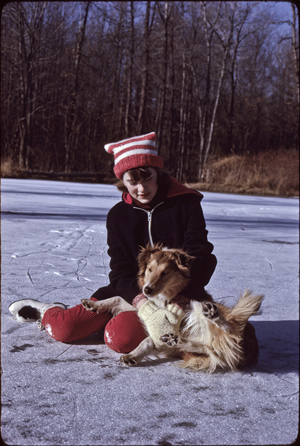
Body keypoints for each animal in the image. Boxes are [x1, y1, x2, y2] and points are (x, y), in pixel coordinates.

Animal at [81, 244, 262, 372]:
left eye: (165, 272)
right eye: (150, 269)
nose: (147, 289)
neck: (163, 297)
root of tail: (251, 352)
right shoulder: (146, 308)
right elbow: (117, 298)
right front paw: (92, 304)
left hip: (200, 308)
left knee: (229, 330)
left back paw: (212, 314)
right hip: (200, 348)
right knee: (203, 347)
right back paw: (174, 339)